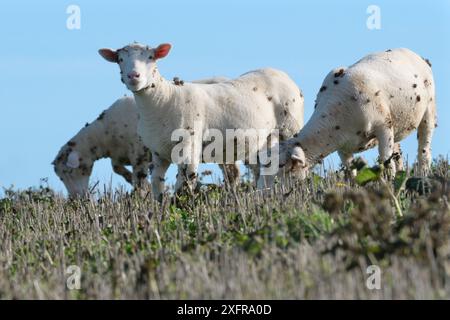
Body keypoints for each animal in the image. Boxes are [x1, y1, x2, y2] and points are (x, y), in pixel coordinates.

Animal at [98, 42, 302, 200]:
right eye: (120, 59)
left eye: (151, 57)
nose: (134, 76)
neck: (163, 100)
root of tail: (281, 73)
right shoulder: (158, 152)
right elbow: (157, 184)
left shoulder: (188, 146)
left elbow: (184, 184)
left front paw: (182, 208)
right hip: (265, 139)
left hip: (289, 129)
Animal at [262, 48, 438, 186]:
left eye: (282, 166)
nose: (263, 194)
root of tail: (414, 54)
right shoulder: (342, 147)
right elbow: (351, 173)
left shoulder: (384, 126)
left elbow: (386, 164)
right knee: (398, 153)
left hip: (428, 110)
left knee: (424, 150)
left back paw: (423, 174)